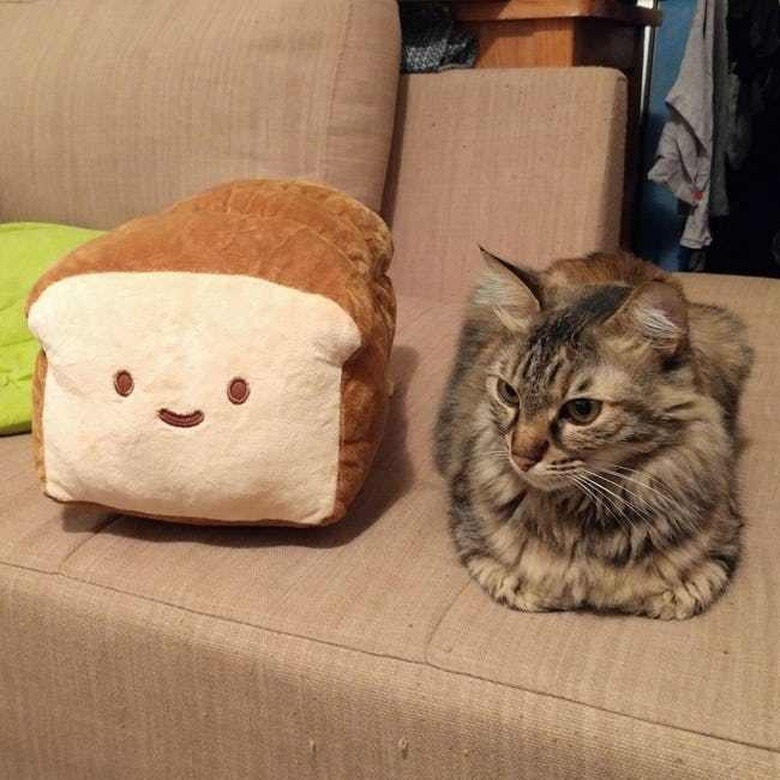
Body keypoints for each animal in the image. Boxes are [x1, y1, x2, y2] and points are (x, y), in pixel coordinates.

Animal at [436, 247, 752, 620]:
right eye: (508, 393)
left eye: (582, 410)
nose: (521, 457)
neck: (588, 514)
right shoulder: (469, 527)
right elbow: (515, 579)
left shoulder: (722, 543)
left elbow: (687, 587)